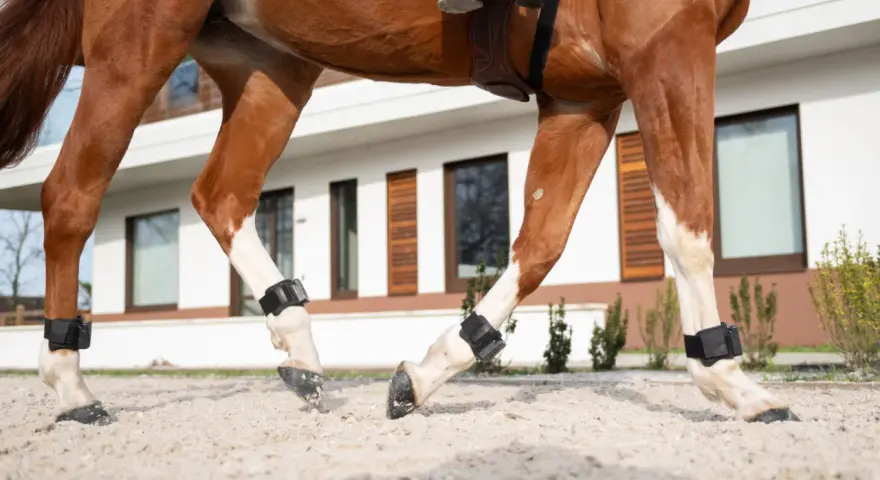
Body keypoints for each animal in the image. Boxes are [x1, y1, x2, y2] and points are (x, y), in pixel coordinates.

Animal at [0, 0, 801, 426]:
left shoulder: (586, 93)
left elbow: (541, 242)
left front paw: (426, 372)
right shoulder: (664, 43)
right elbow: (688, 223)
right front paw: (734, 382)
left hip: (271, 66)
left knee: (219, 194)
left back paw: (299, 346)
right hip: (140, 38)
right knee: (70, 194)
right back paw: (70, 386)